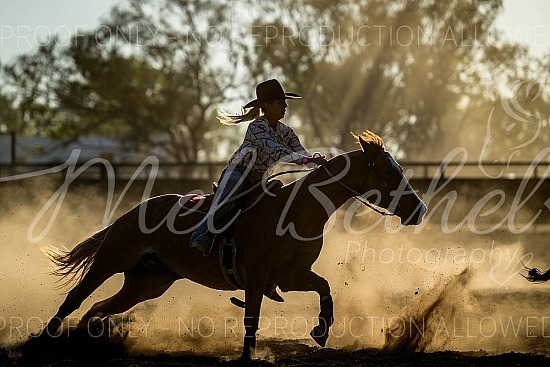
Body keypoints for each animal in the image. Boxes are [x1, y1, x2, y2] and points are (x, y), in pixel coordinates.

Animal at [36, 131, 430, 360]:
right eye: (389, 172)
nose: (420, 209)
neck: (295, 210)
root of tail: (131, 213)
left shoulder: (290, 276)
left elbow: (325, 288)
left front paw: (321, 331)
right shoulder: (255, 277)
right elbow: (251, 319)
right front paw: (247, 357)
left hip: (148, 282)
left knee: (99, 306)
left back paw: (87, 340)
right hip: (112, 259)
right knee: (76, 298)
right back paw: (43, 339)